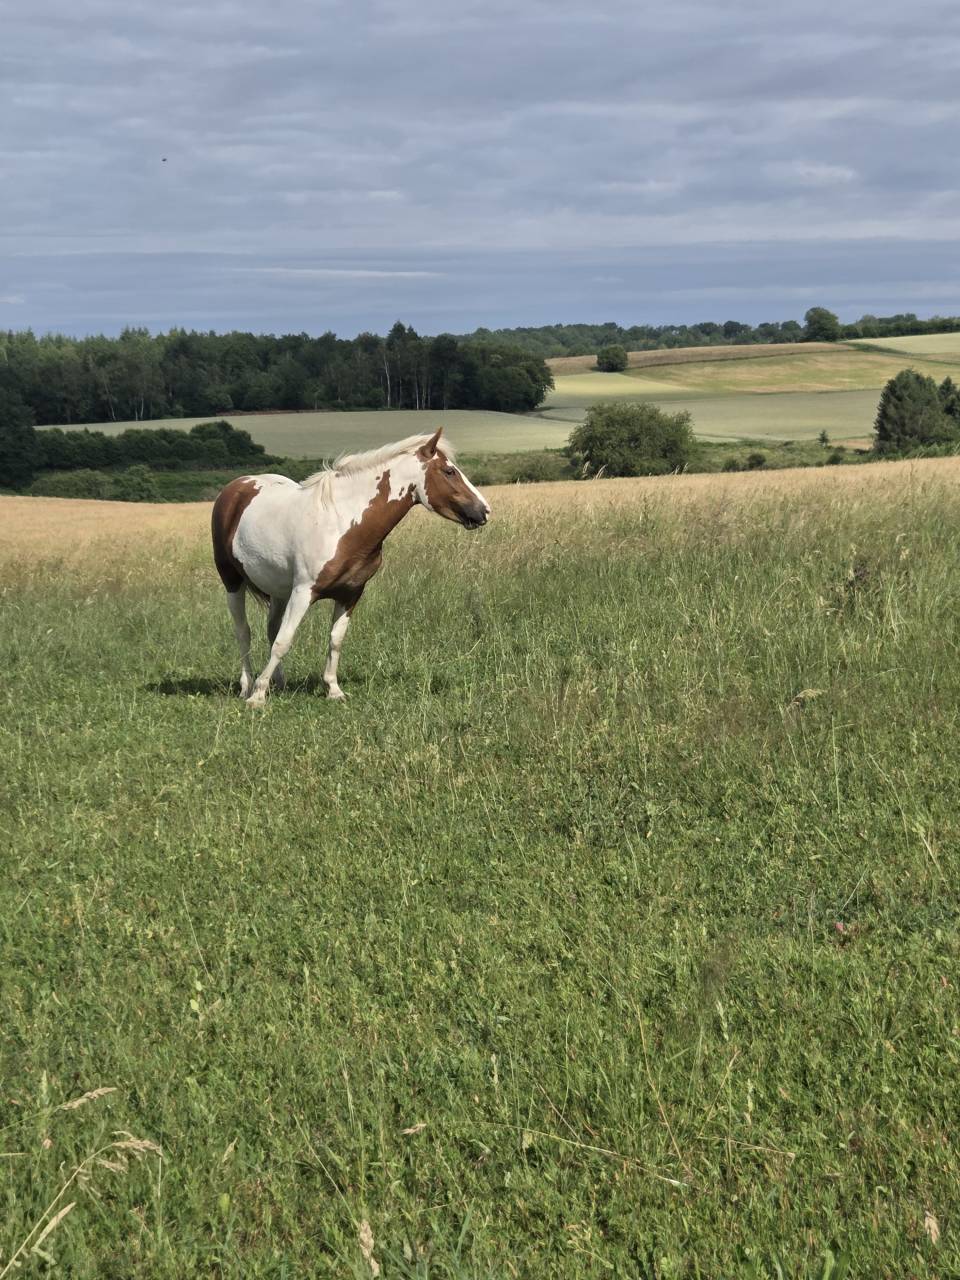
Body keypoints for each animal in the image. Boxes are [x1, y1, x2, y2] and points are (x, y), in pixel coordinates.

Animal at [211, 428, 490, 705]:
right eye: (449, 471)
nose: (484, 511)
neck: (341, 522)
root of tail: (236, 487)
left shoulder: (350, 593)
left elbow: (335, 640)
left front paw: (333, 689)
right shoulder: (303, 592)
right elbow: (284, 640)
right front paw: (258, 695)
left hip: (279, 591)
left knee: (271, 629)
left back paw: (279, 682)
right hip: (233, 582)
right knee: (243, 632)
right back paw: (247, 686)